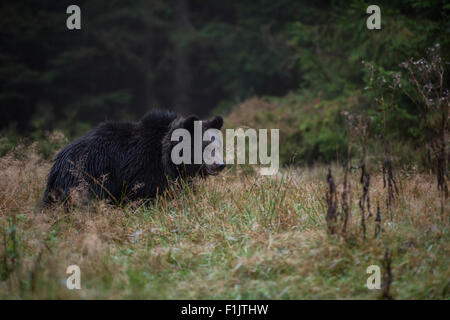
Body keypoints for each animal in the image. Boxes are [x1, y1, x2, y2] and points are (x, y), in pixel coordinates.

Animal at [42, 109, 225, 205]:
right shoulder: (144, 169)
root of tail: (57, 162)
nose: (220, 164)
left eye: (217, 145)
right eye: (205, 145)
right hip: (86, 177)